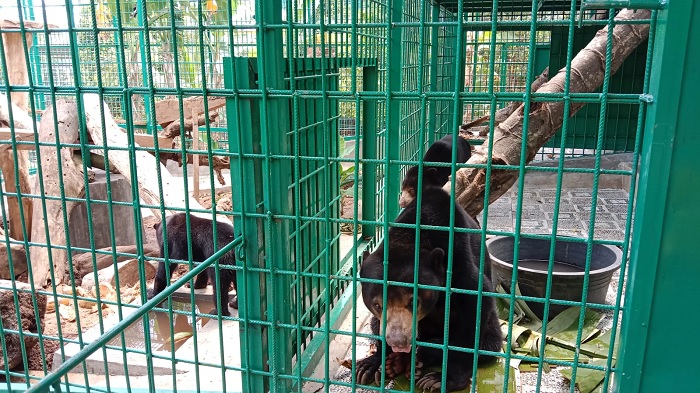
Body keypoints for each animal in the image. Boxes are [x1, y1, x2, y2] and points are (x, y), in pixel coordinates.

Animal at [358, 178, 500, 392]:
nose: (398, 341)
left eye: (413, 302)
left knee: (489, 344)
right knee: (375, 325)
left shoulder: (460, 262)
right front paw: (374, 363)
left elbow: (474, 306)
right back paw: (393, 363)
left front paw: (442, 380)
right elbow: (379, 326)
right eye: (377, 304)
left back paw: (418, 357)